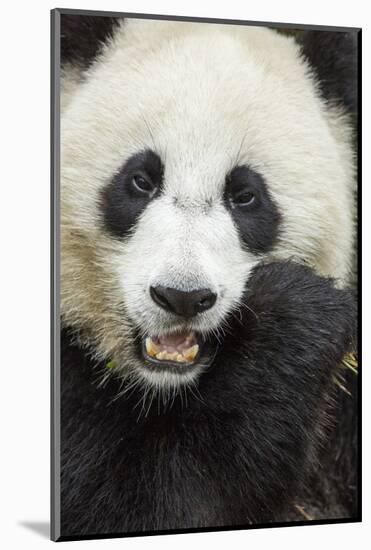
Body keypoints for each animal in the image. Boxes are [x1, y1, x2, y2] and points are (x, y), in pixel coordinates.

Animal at [58, 15, 360, 540]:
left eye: (245, 195)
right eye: (141, 180)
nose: (182, 297)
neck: (161, 387)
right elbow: (159, 500)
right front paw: (294, 316)